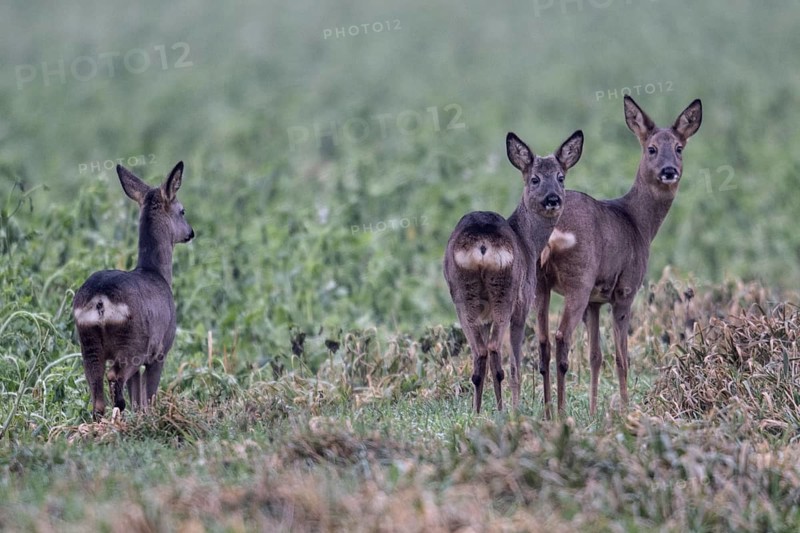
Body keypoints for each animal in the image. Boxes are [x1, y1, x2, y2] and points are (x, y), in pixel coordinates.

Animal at [73, 161, 194, 419]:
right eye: (182, 210)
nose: (191, 233)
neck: (156, 273)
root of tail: (100, 301)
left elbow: (138, 398)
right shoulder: (159, 351)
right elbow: (148, 397)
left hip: (88, 343)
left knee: (97, 397)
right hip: (134, 343)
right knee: (114, 376)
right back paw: (119, 407)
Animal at [444, 130, 584, 413]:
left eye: (561, 177)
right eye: (535, 178)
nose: (553, 199)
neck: (528, 242)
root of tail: (482, 245)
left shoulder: (484, 316)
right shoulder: (524, 302)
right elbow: (516, 364)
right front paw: (517, 406)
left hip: (462, 294)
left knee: (480, 353)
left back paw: (477, 412)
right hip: (505, 292)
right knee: (496, 350)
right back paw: (502, 410)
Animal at [535, 95, 702, 418]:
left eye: (679, 147)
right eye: (651, 148)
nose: (669, 171)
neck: (638, 223)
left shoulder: (595, 301)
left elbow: (595, 356)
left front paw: (592, 412)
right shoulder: (624, 290)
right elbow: (622, 358)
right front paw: (625, 411)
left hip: (539, 282)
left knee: (543, 340)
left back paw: (548, 411)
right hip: (579, 279)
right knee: (562, 336)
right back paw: (560, 412)